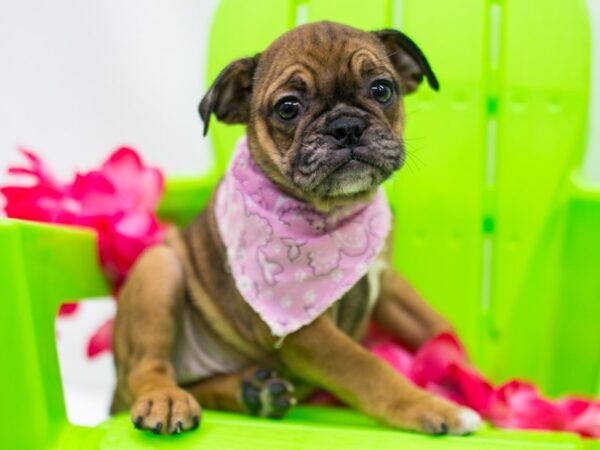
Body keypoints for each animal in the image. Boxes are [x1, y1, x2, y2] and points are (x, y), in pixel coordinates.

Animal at [110, 21, 480, 436]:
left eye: (381, 89)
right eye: (288, 108)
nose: (347, 127)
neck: (336, 211)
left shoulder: (387, 283)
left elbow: (435, 324)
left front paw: (472, 378)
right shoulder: (307, 333)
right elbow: (368, 369)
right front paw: (436, 408)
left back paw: (253, 392)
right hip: (158, 269)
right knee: (147, 369)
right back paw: (167, 399)